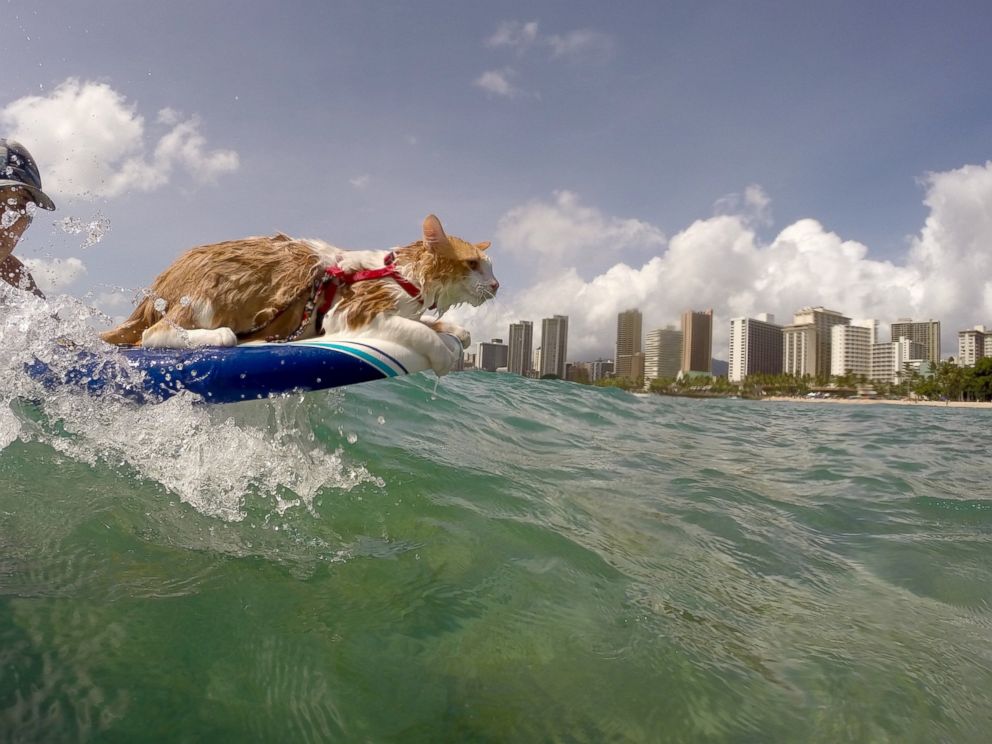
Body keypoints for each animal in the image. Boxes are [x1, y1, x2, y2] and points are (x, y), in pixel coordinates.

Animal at [101, 215, 496, 378]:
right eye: (473, 264)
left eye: (490, 268)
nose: (496, 286)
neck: (406, 276)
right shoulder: (355, 312)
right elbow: (420, 330)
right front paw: (443, 353)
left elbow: (432, 322)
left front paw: (457, 332)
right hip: (212, 293)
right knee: (153, 335)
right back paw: (218, 336)